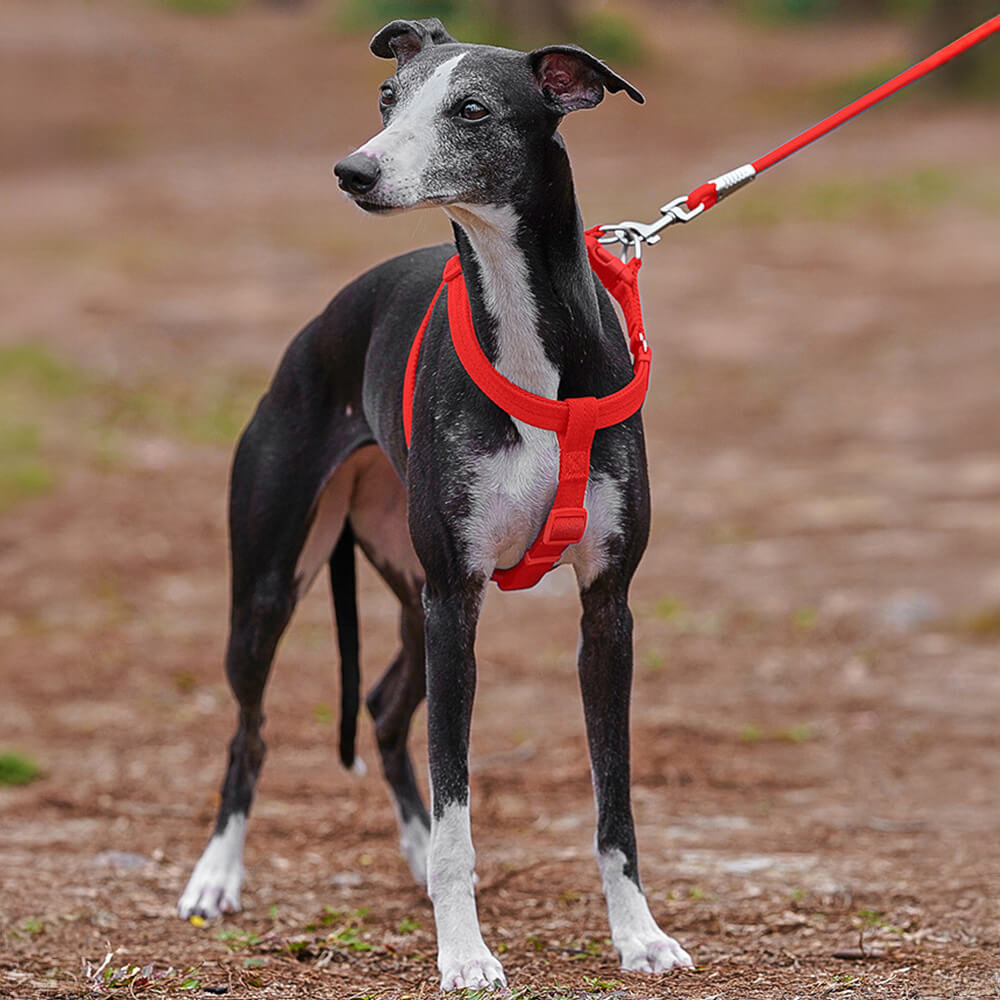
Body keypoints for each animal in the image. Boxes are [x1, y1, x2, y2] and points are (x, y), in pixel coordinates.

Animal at [180, 17, 692, 992]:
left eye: (472, 109)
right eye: (388, 97)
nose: (353, 171)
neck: (533, 345)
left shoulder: (605, 609)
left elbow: (614, 800)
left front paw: (640, 936)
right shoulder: (458, 597)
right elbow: (459, 801)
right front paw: (466, 954)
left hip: (415, 598)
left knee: (384, 708)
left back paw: (412, 862)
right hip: (273, 587)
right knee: (250, 733)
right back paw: (215, 877)